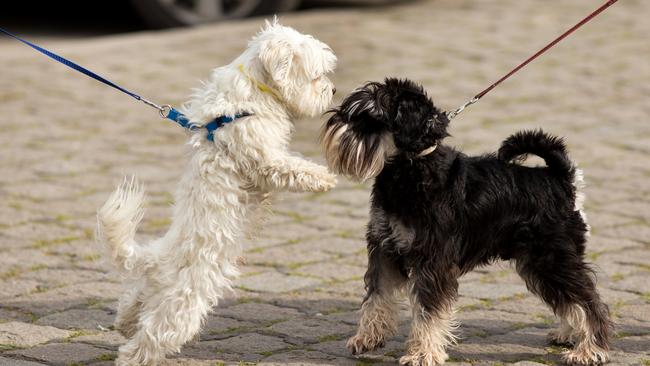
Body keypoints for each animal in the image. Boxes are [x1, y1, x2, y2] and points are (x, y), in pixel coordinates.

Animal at [100, 21, 340, 364]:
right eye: (317, 75)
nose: (333, 91)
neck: (254, 94)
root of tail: (159, 258)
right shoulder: (265, 159)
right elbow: (292, 168)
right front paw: (324, 177)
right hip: (182, 307)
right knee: (150, 339)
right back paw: (133, 353)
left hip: (151, 291)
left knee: (133, 301)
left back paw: (125, 322)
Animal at [322, 78, 612, 364]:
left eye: (370, 117)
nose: (334, 121)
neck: (410, 169)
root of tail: (562, 179)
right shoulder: (384, 248)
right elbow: (377, 296)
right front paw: (367, 338)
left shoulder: (432, 260)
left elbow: (427, 311)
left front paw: (422, 353)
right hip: (540, 263)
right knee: (570, 300)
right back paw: (569, 335)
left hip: (551, 259)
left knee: (589, 301)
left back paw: (589, 350)